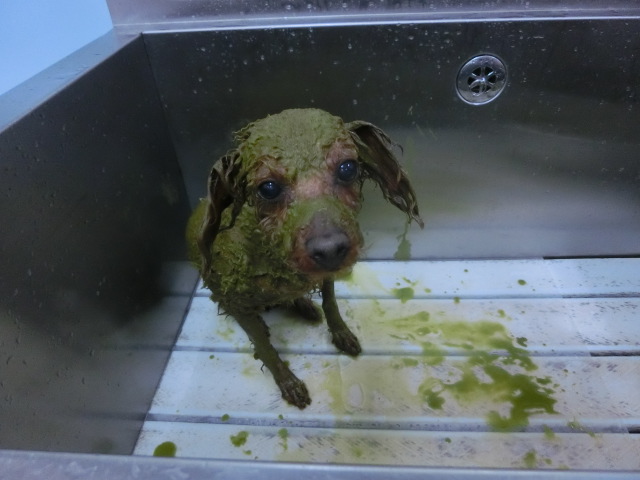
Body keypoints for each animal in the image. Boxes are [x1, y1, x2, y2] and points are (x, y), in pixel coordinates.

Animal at [187, 108, 423, 409]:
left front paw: (341, 333)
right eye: (268, 188)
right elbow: (265, 350)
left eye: (348, 168)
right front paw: (288, 383)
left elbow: (331, 304)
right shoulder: (234, 301)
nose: (330, 249)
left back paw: (304, 305)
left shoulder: (325, 276)